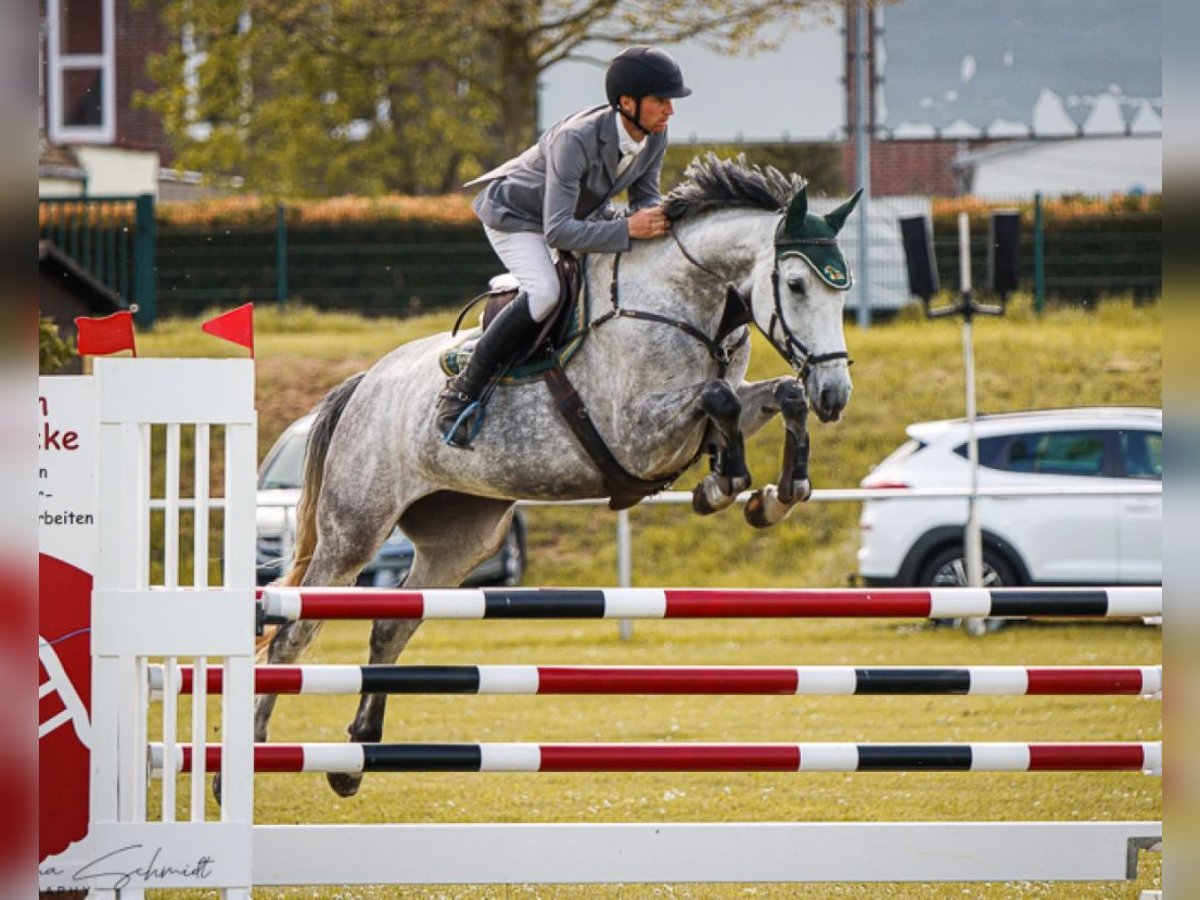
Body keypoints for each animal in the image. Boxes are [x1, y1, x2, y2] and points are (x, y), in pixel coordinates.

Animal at [260, 154, 864, 796]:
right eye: (796, 285)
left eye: (843, 292)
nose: (835, 394)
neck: (685, 302)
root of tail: (363, 385)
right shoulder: (634, 434)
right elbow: (718, 397)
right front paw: (722, 484)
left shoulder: (704, 417)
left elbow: (776, 396)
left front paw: (772, 494)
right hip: (354, 530)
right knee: (293, 632)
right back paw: (251, 758)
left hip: (461, 538)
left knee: (391, 626)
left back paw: (355, 757)